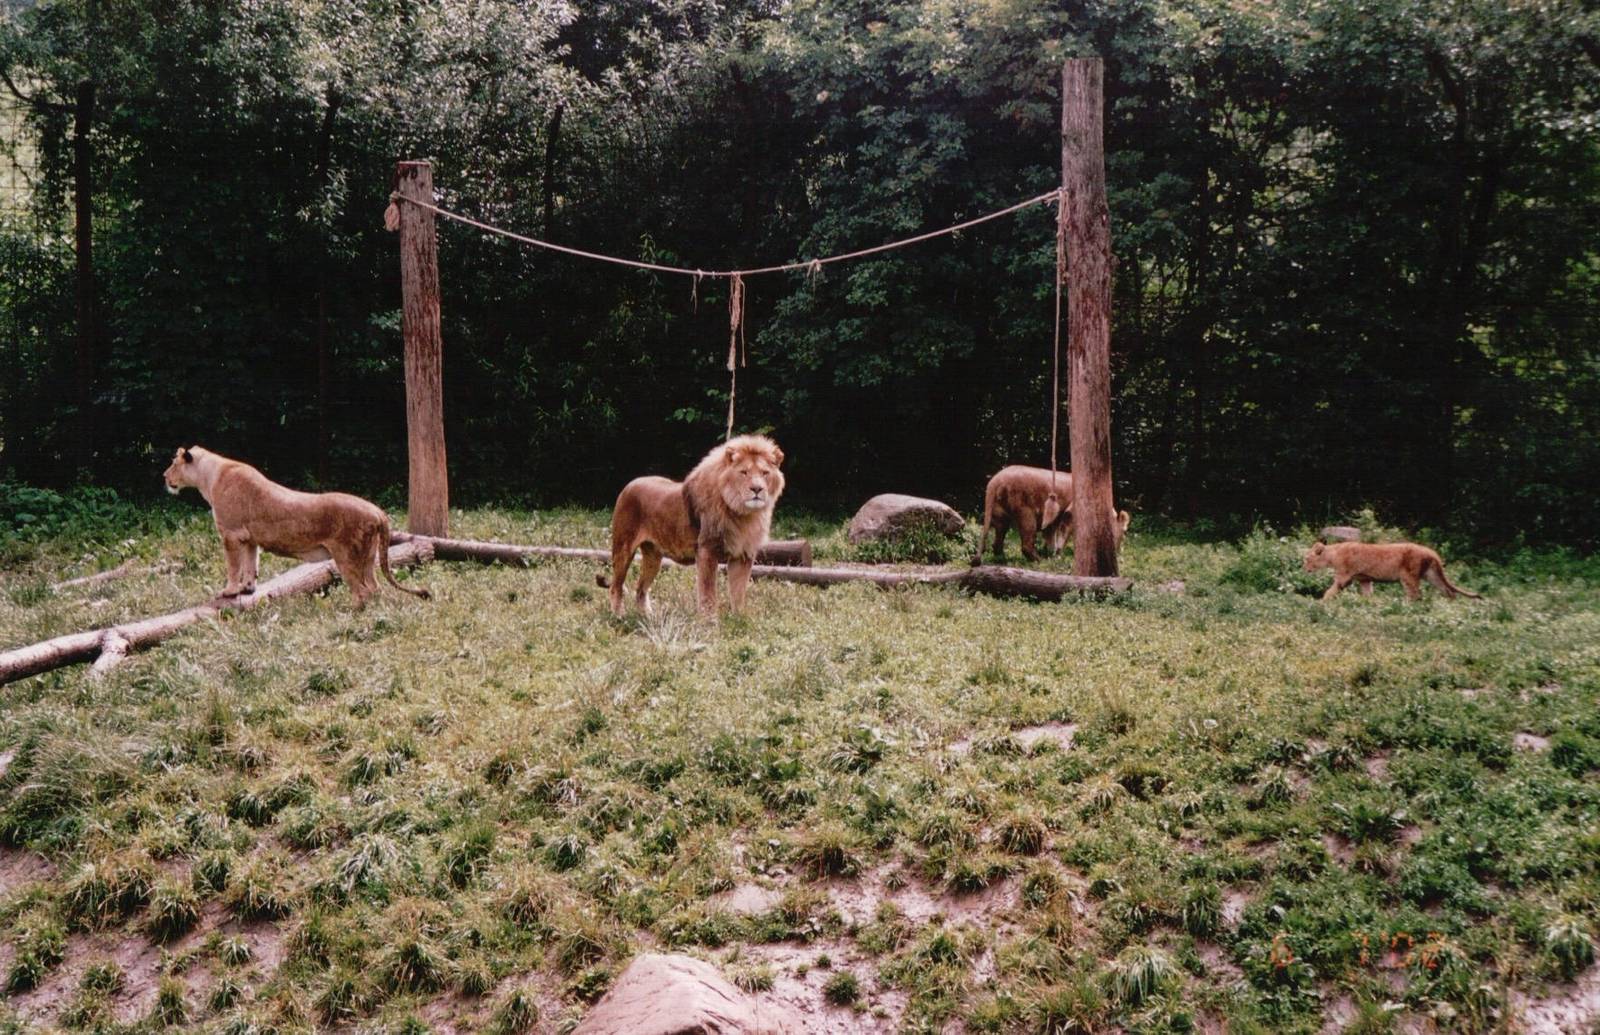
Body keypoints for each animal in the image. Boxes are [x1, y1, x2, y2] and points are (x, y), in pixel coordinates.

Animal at [163, 446, 431, 609]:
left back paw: (349, 614)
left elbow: (233, 566)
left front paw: (228, 591)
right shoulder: (249, 538)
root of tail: (378, 512)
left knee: (362, 591)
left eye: (174, 464)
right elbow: (251, 564)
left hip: (346, 556)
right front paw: (248, 588)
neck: (209, 475)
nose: (164, 477)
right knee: (375, 589)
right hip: (367, 557)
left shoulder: (231, 534)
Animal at [601, 434, 785, 617]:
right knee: (616, 586)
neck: (742, 512)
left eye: (765, 473)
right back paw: (619, 616)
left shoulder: (743, 556)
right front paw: (709, 621)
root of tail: (630, 484)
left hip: (653, 557)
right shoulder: (706, 550)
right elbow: (708, 592)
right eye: (744, 472)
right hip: (623, 549)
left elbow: (738, 593)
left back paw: (647, 617)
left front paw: (739, 618)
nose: (757, 489)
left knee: (640, 588)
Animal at [975, 465, 1130, 563]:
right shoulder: (1070, 513)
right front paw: (1058, 555)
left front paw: (1051, 552)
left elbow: (1051, 535)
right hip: (1025, 511)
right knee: (1026, 543)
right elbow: (1064, 534)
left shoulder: (1054, 518)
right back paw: (1038, 560)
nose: (1119, 553)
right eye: (1124, 531)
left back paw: (1002, 559)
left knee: (997, 541)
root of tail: (994, 481)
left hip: (1000, 513)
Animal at [1303, 541, 1481, 601]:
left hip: (1408, 576)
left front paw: (1320, 603)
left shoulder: (1344, 577)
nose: (1303, 568)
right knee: (1448, 592)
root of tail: (1432, 552)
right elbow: (1368, 596)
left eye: (1307, 558)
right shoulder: (1365, 579)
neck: (1333, 553)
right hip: (1431, 575)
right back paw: (1450, 607)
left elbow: (1330, 591)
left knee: (1416, 595)